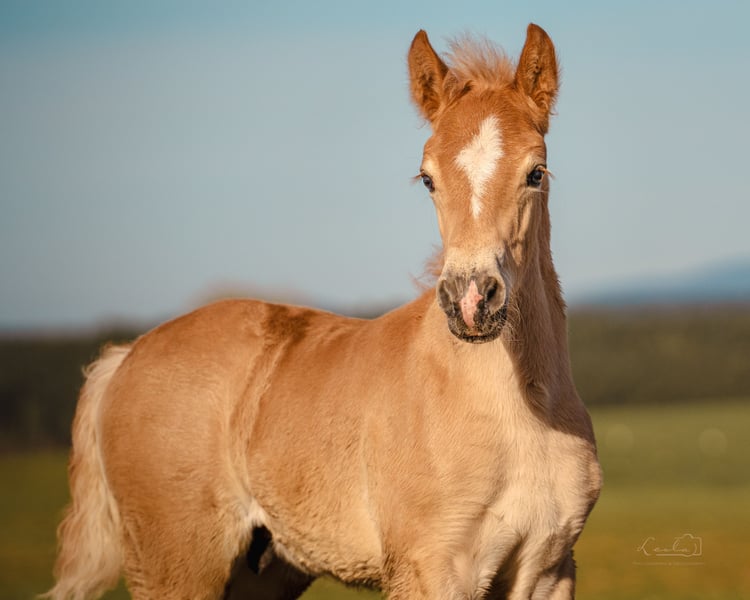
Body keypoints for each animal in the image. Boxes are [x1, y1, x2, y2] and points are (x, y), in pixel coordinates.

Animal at [46, 23, 601, 600]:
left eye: (535, 173)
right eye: (427, 178)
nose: (471, 301)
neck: (515, 415)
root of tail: (125, 359)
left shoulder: (549, 570)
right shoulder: (429, 570)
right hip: (174, 568)